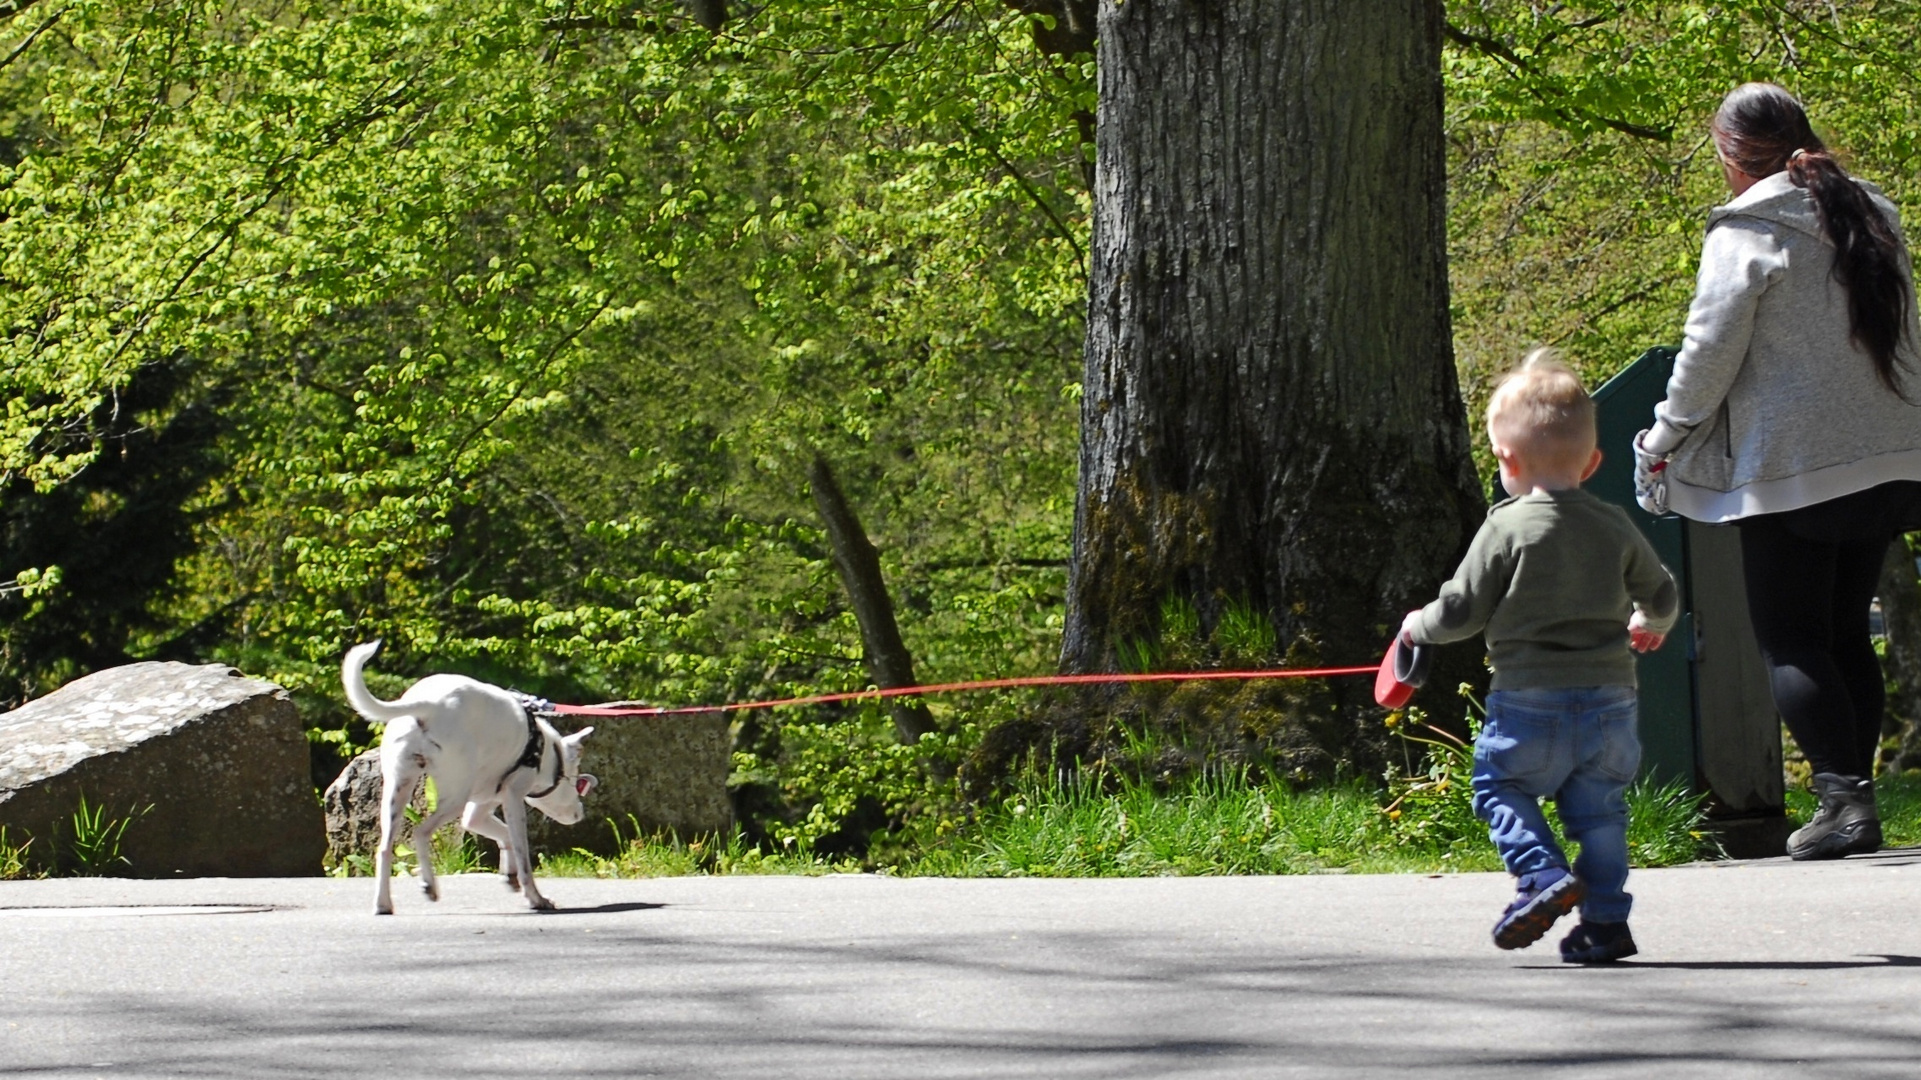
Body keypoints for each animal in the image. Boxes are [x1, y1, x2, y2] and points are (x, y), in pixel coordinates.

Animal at [340, 638, 591, 907]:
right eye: (579, 785)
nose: (580, 814)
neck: (547, 751)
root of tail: (429, 705)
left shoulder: (477, 813)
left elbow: (504, 835)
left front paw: (509, 874)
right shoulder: (513, 799)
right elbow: (522, 853)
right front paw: (534, 896)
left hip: (397, 793)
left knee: (384, 848)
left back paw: (383, 904)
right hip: (454, 798)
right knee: (421, 832)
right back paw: (429, 885)